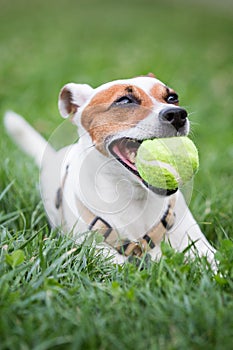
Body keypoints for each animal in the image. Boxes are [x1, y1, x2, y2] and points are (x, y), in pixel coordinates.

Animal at [3, 74, 216, 266]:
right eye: (124, 100)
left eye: (172, 97)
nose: (177, 114)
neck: (134, 198)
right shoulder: (99, 254)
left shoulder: (202, 249)